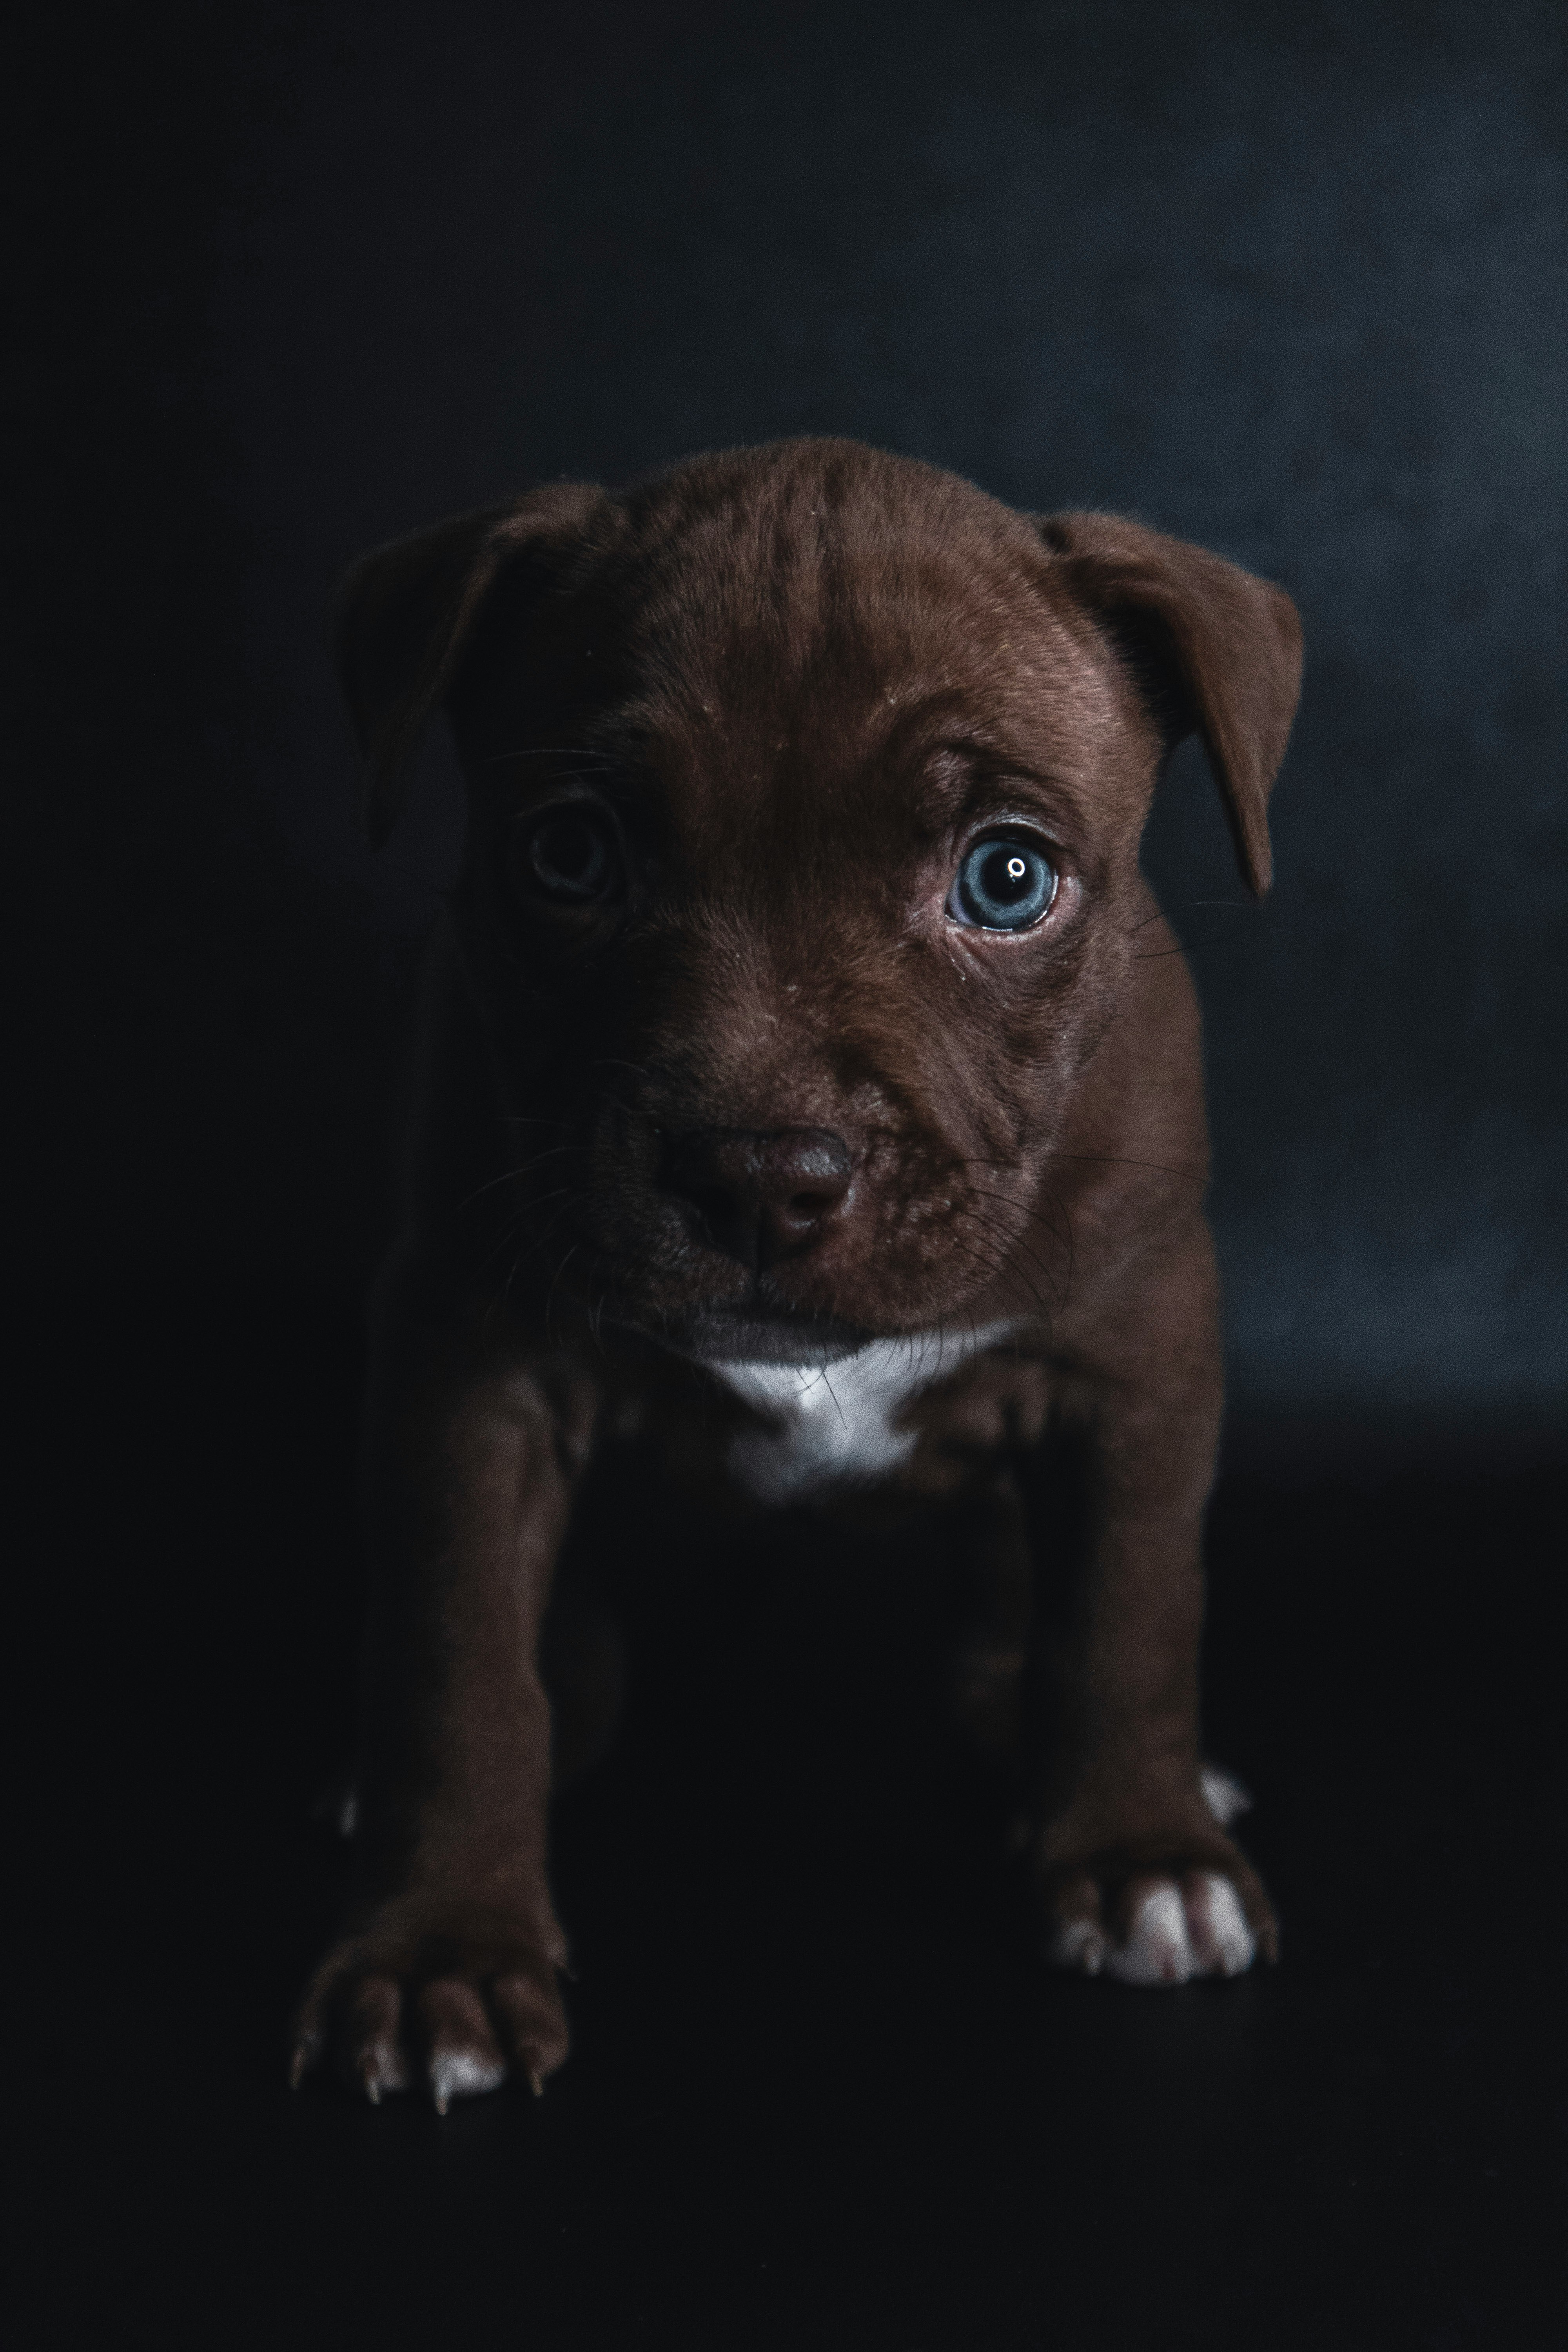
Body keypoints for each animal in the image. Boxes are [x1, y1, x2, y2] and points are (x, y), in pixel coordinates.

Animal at [291, 442, 1298, 2117]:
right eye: (569, 854)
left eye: (1006, 877)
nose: (758, 1168)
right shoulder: (466, 1367)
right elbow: (459, 1663)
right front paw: (440, 1950)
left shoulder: (1139, 1354)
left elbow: (1129, 1613)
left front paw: (1141, 1850)